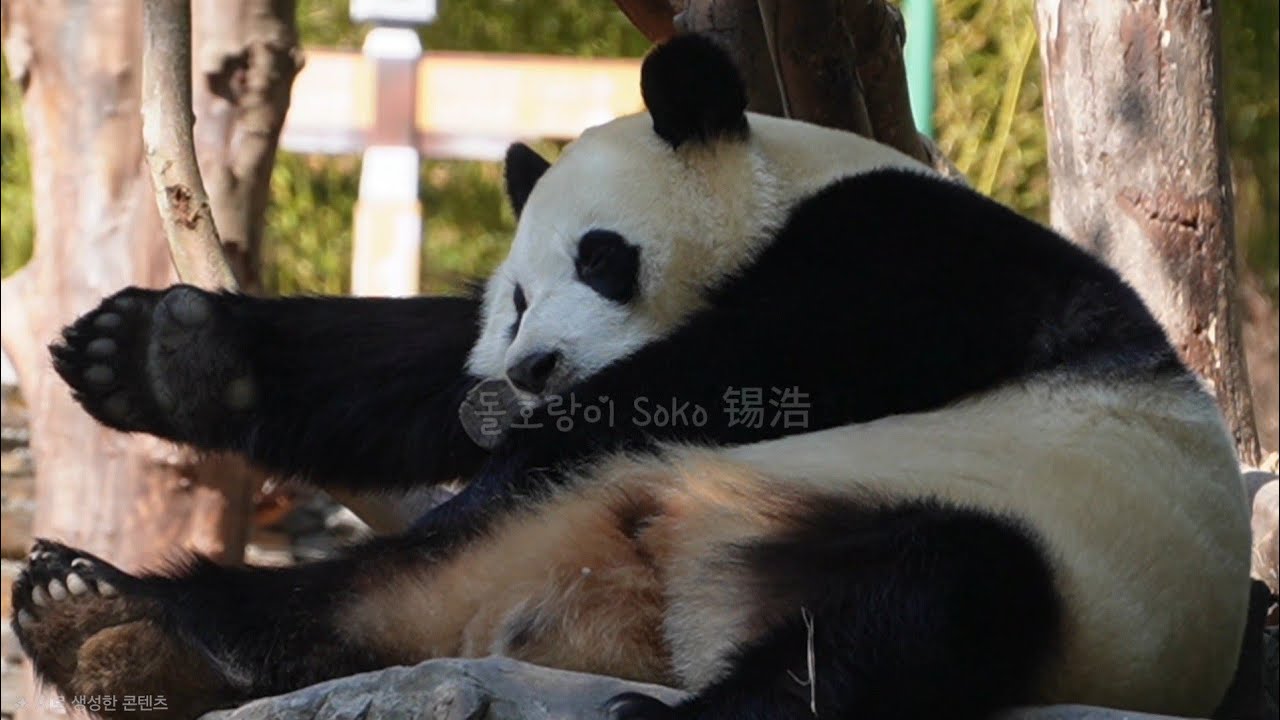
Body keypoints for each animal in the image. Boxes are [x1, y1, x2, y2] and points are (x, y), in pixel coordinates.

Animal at [11, 34, 1251, 720]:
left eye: (601, 257)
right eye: (516, 298)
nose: (530, 369)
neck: (788, 178)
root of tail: (681, 600)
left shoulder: (913, 255)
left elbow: (765, 354)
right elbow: (420, 372)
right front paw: (158, 354)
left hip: (1049, 571)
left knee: (923, 605)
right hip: (532, 544)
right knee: (352, 599)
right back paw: (111, 620)